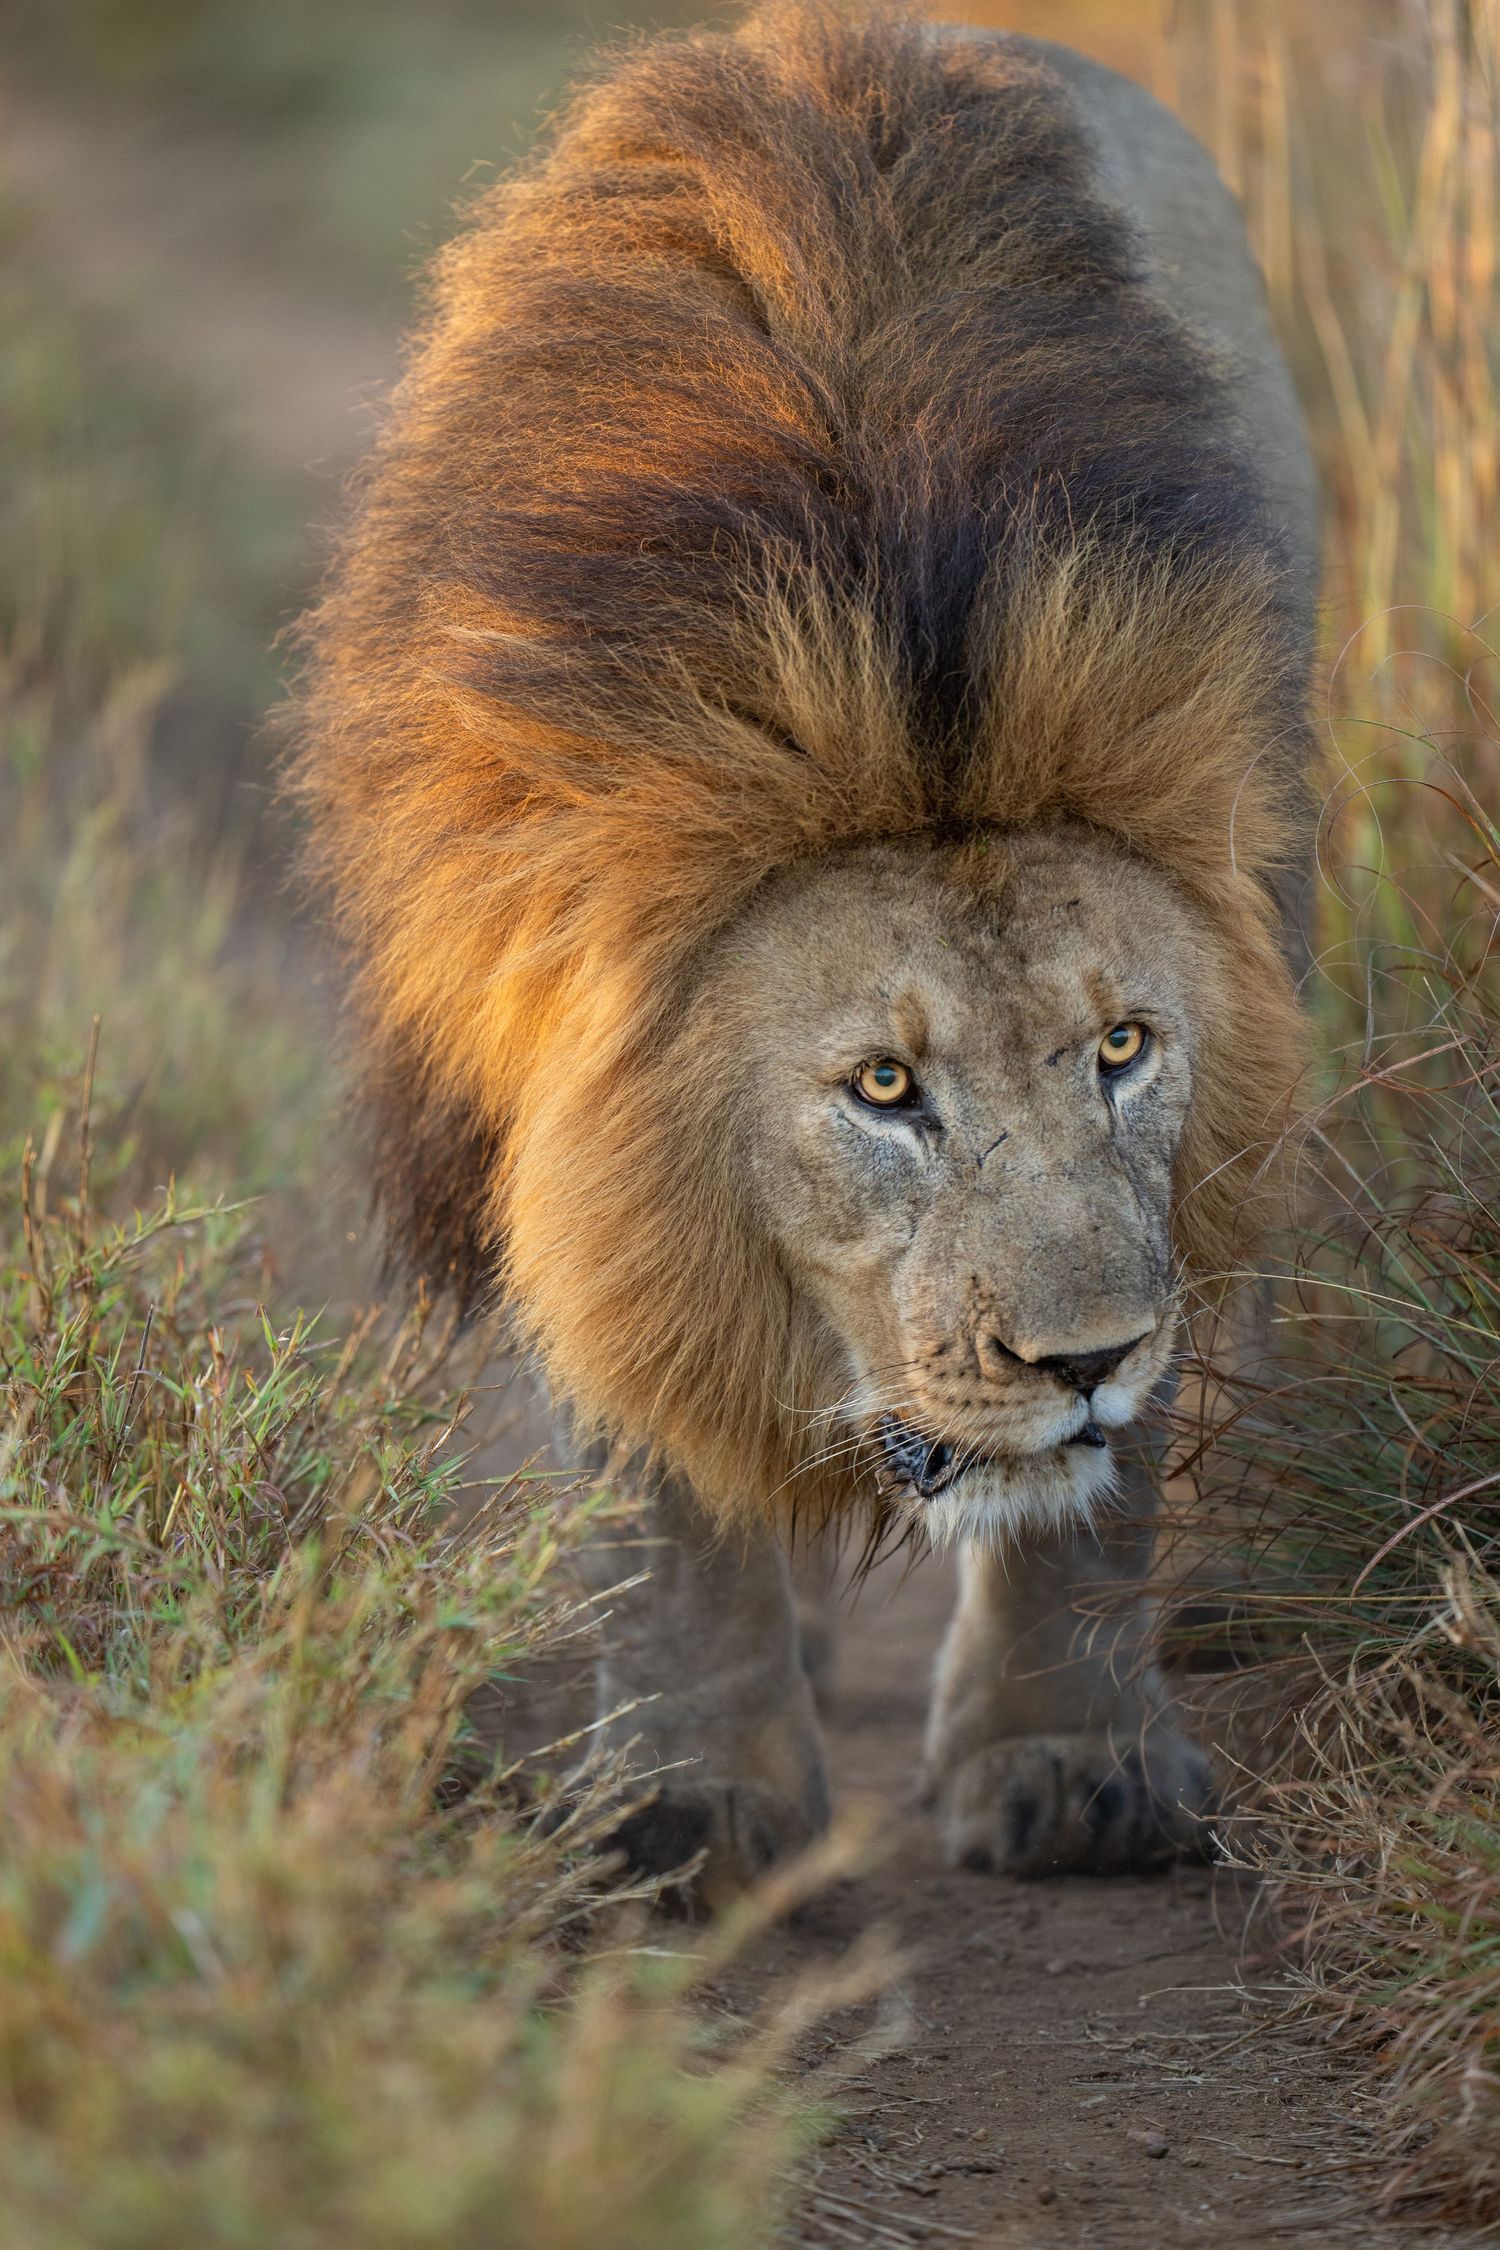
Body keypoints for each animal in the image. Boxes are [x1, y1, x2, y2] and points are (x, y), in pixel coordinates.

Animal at [291, 2, 1319, 1892]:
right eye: (885, 1087)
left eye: (1123, 1047)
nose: (1080, 1365)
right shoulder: (570, 1113)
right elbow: (654, 1471)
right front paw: (687, 1798)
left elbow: (1111, 1489)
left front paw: (1072, 1764)